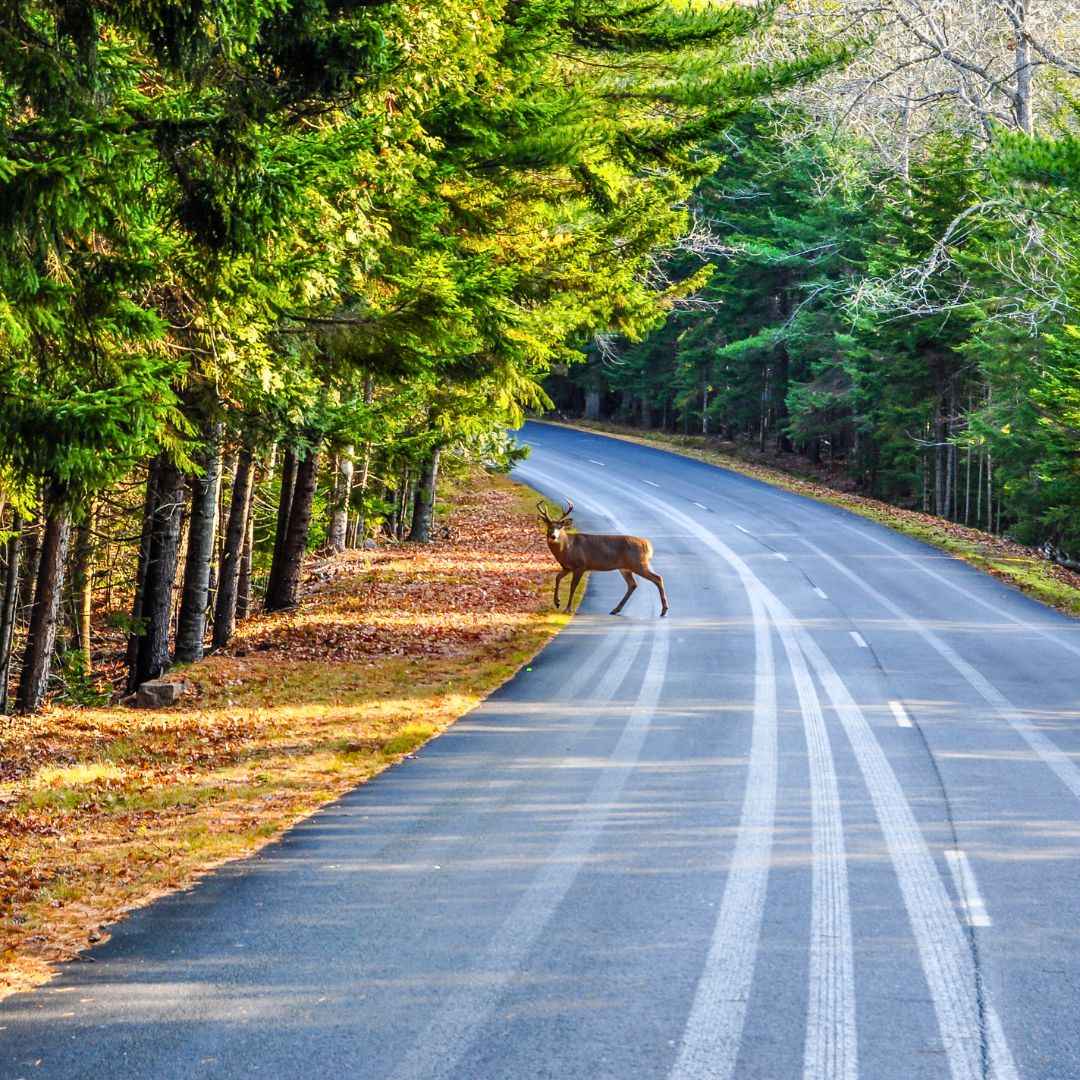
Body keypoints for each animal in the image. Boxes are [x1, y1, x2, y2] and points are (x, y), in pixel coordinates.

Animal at [537, 500, 668, 617]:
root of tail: (649, 545)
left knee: (657, 578)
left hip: (638, 562)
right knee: (633, 584)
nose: (553, 536)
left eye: (560, 527)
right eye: (549, 526)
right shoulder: (567, 567)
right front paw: (557, 602)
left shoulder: (580, 565)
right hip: (625, 568)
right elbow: (557, 578)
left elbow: (573, 587)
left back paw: (664, 610)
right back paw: (615, 610)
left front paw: (567, 609)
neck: (567, 548)